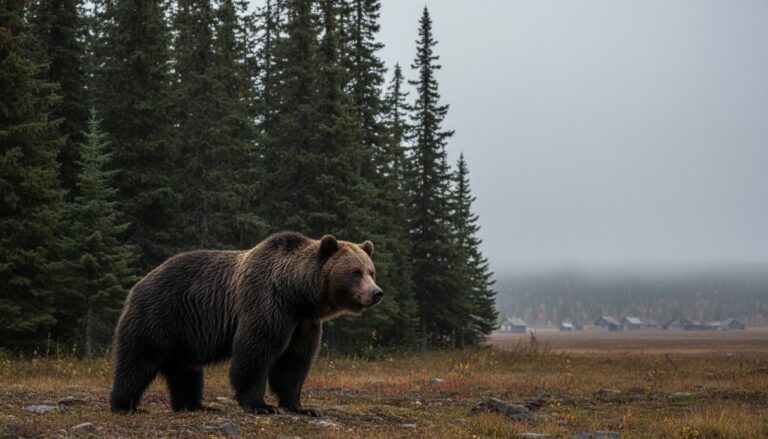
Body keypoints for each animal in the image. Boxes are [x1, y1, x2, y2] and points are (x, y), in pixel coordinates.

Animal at [108, 231, 382, 416]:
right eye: (355, 272)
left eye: (371, 271)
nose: (377, 293)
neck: (297, 294)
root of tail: (138, 284)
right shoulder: (267, 303)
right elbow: (255, 351)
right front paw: (261, 405)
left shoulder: (303, 324)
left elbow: (294, 362)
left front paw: (301, 407)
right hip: (160, 314)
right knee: (139, 359)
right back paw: (124, 405)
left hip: (184, 335)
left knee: (185, 370)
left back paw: (196, 406)